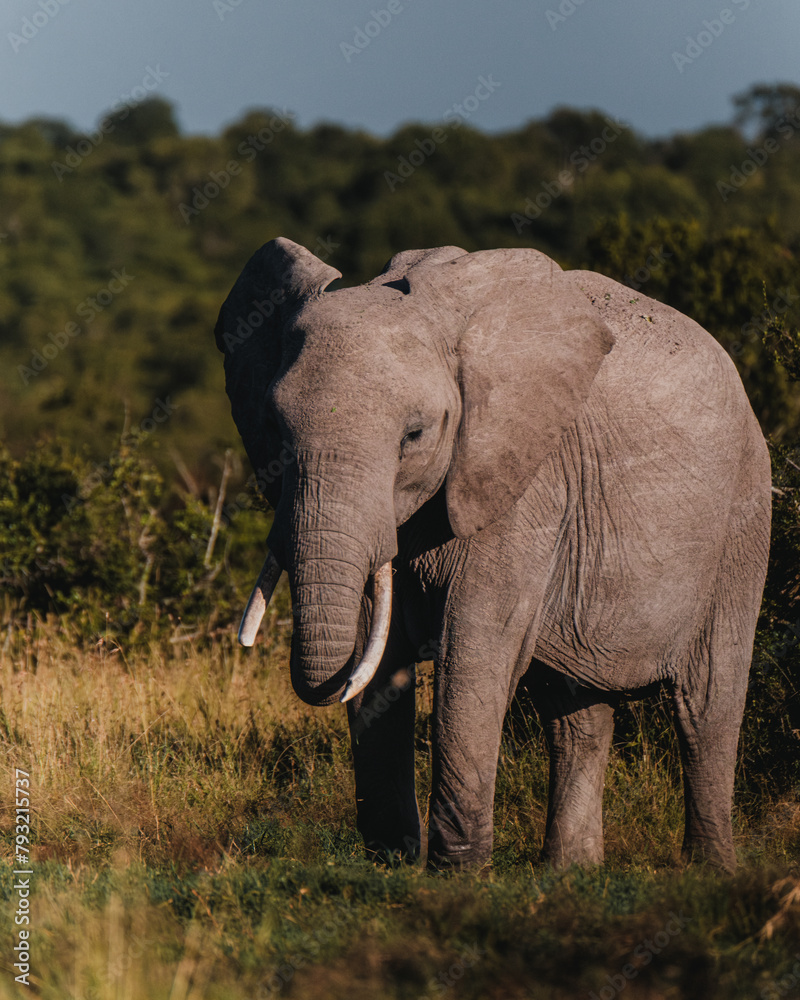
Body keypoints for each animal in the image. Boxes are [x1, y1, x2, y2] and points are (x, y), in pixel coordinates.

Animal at [212, 238, 768, 872]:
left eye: (414, 435)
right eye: (274, 428)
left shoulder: (524, 482)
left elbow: (474, 644)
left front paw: (457, 874)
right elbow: (377, 649)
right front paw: (391, 865)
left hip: (742, 518)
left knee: (706, 705)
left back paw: (709, 869)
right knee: (576, 713)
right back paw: (570, 872)